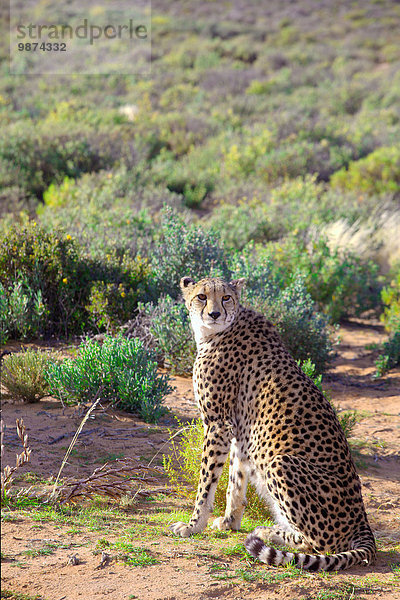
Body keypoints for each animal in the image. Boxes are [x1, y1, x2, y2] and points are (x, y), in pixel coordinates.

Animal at [170, 276, 376, 572]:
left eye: (226, 298)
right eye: (201, 296)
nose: (215, 314)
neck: (219, 330)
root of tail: (363, 519)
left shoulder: (217, 424)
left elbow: (207, 482)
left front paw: (192, 525)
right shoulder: (239, 430)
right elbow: (235, 480)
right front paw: (229, 522)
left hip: (279, 461)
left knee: (320, 543)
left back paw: (268, 532)